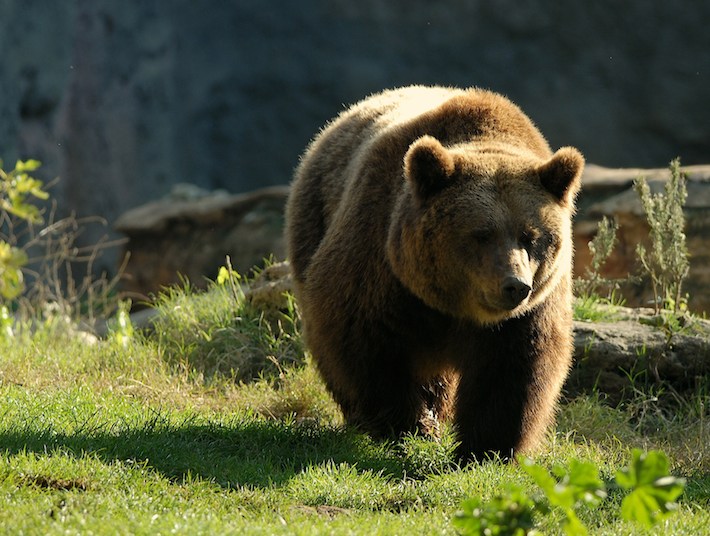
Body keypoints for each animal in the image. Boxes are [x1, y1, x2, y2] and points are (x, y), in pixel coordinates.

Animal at [284, 85, 584, 460]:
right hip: (313, 221)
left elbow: (514, 368)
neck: (454, 307)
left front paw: (486, 448)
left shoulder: (529, 311)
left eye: (531, 236)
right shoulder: (381, 266)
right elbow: (368, 343)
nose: (515, 286)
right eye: (481, 234)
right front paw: (406, 425)